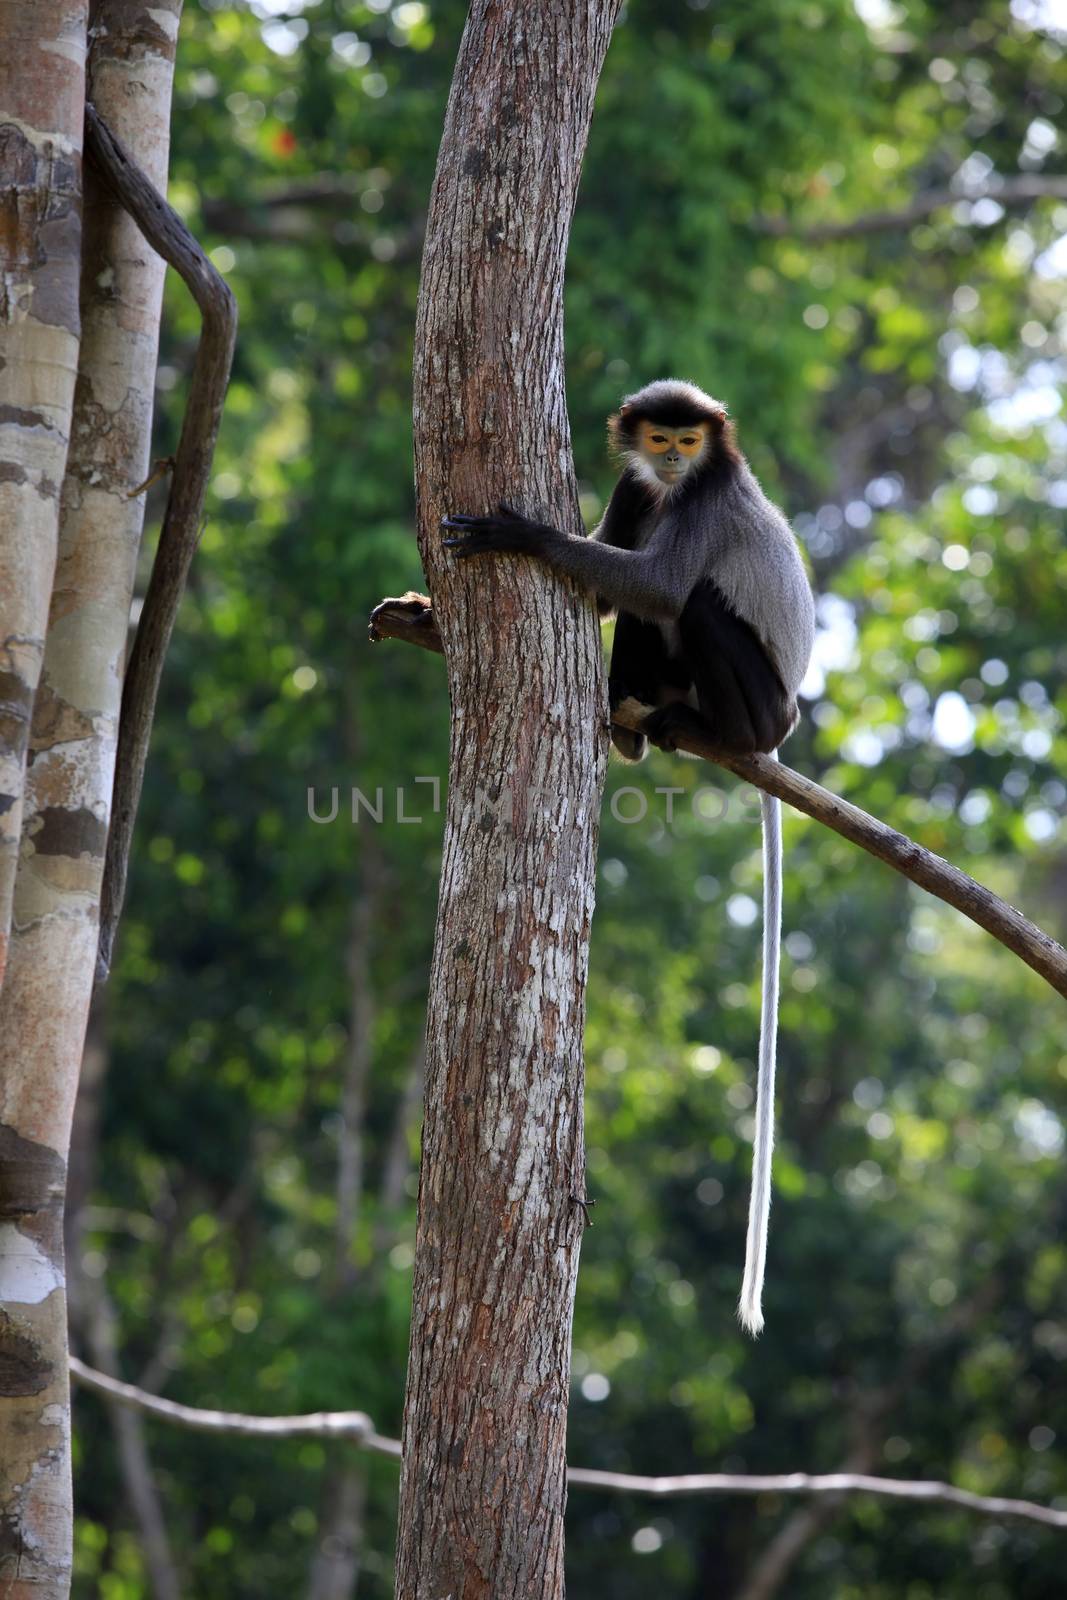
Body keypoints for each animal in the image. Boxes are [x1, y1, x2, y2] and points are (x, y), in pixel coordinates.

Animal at [441, 380, 819, 1331]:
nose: (674, 461)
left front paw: (524, 537)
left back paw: (699, 728)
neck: (682, 481)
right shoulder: (641, 486)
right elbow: (619, 597)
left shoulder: (704, 499)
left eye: (689, 440)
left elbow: (657, 584)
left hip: (761, 704)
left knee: (692, 602)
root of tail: (783, 725)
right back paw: (629, 717)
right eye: (658, 438)